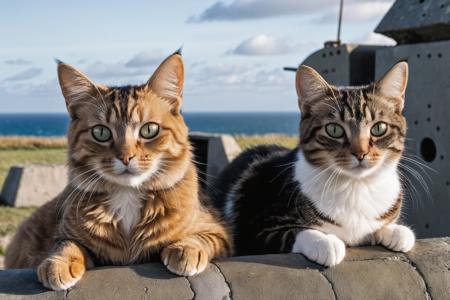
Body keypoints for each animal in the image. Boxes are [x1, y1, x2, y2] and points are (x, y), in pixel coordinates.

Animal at [4, 51, 232, 290]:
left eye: (149, 130)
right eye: (101, 133)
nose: (125, 157)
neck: (127, 196)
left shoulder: (219, 232)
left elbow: (201, 237)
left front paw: (186, 248)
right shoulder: (69, 236)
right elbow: (67, 244)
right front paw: (58, 263)